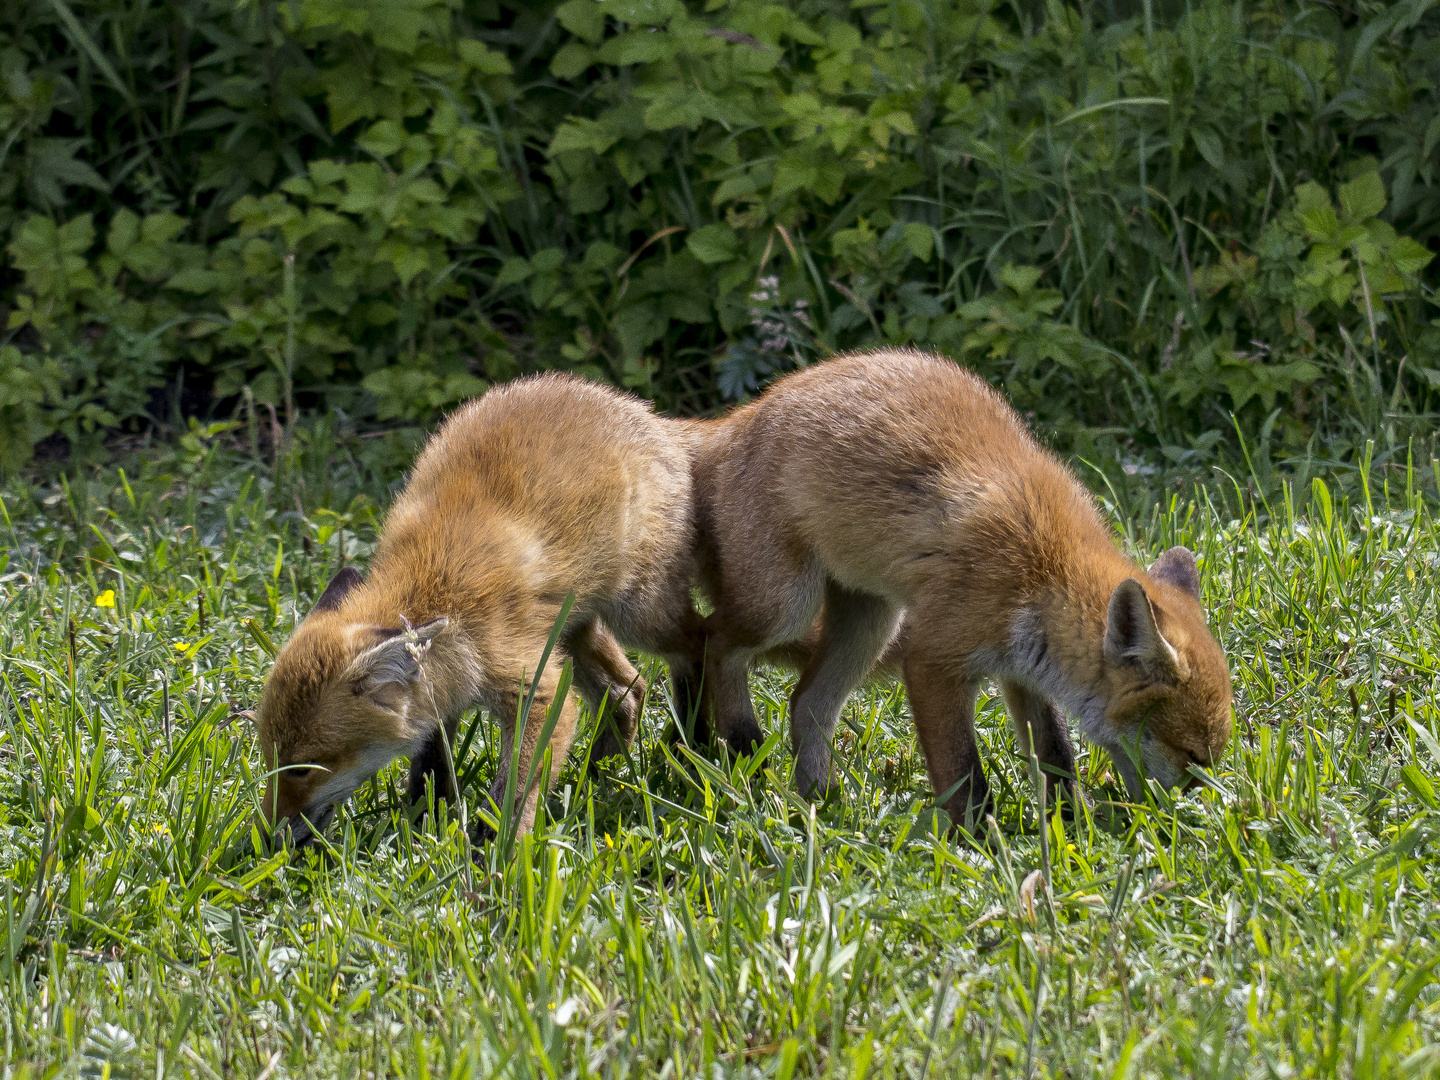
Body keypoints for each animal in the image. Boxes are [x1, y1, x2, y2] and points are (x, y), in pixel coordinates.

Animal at [262, 371, 711, 846]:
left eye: (303, 769)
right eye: (269, 757)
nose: (265, 838)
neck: (436, 588)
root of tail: (649, 415)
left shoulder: (538, 688)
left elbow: (515, 789)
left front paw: (495, 851)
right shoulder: (440, 694)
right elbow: (431, 771)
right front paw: (423, 828)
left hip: (639, 614)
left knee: (699, 641)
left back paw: (695, 747)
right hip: (571, 628)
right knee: (629, 689)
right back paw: (598, 778)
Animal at [691, 351, 1232, 823]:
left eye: (1211, 758)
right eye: (1192, 756)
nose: (1179, 820)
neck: (1043, 569)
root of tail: (733, 420)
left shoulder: (1023, 670)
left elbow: (1056, 754)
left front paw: (1070, 826)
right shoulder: (933, 661)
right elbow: (965, 777)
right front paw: (981, 848)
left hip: (872, 623)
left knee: (805, 705)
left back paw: (820, 805)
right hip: (787, 605)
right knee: (712, 639)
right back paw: (740, 749)